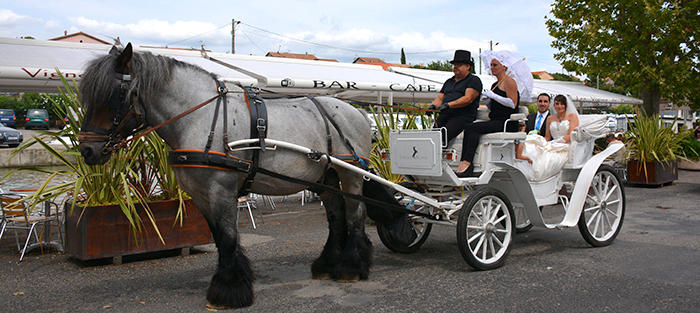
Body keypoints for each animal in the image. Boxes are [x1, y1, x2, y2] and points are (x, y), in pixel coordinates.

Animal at [77, 43, 374, 308]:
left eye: (114, 95)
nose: (87, 151)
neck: (203, 117)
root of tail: (357, 110)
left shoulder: (222, 190)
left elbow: (229, 237)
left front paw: (228, 291)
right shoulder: (200, 195)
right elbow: (219, 238)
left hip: (351, 174)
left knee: (355, 214)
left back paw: (351, 267)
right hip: (326, 178)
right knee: (336, 216)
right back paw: (328, 264)